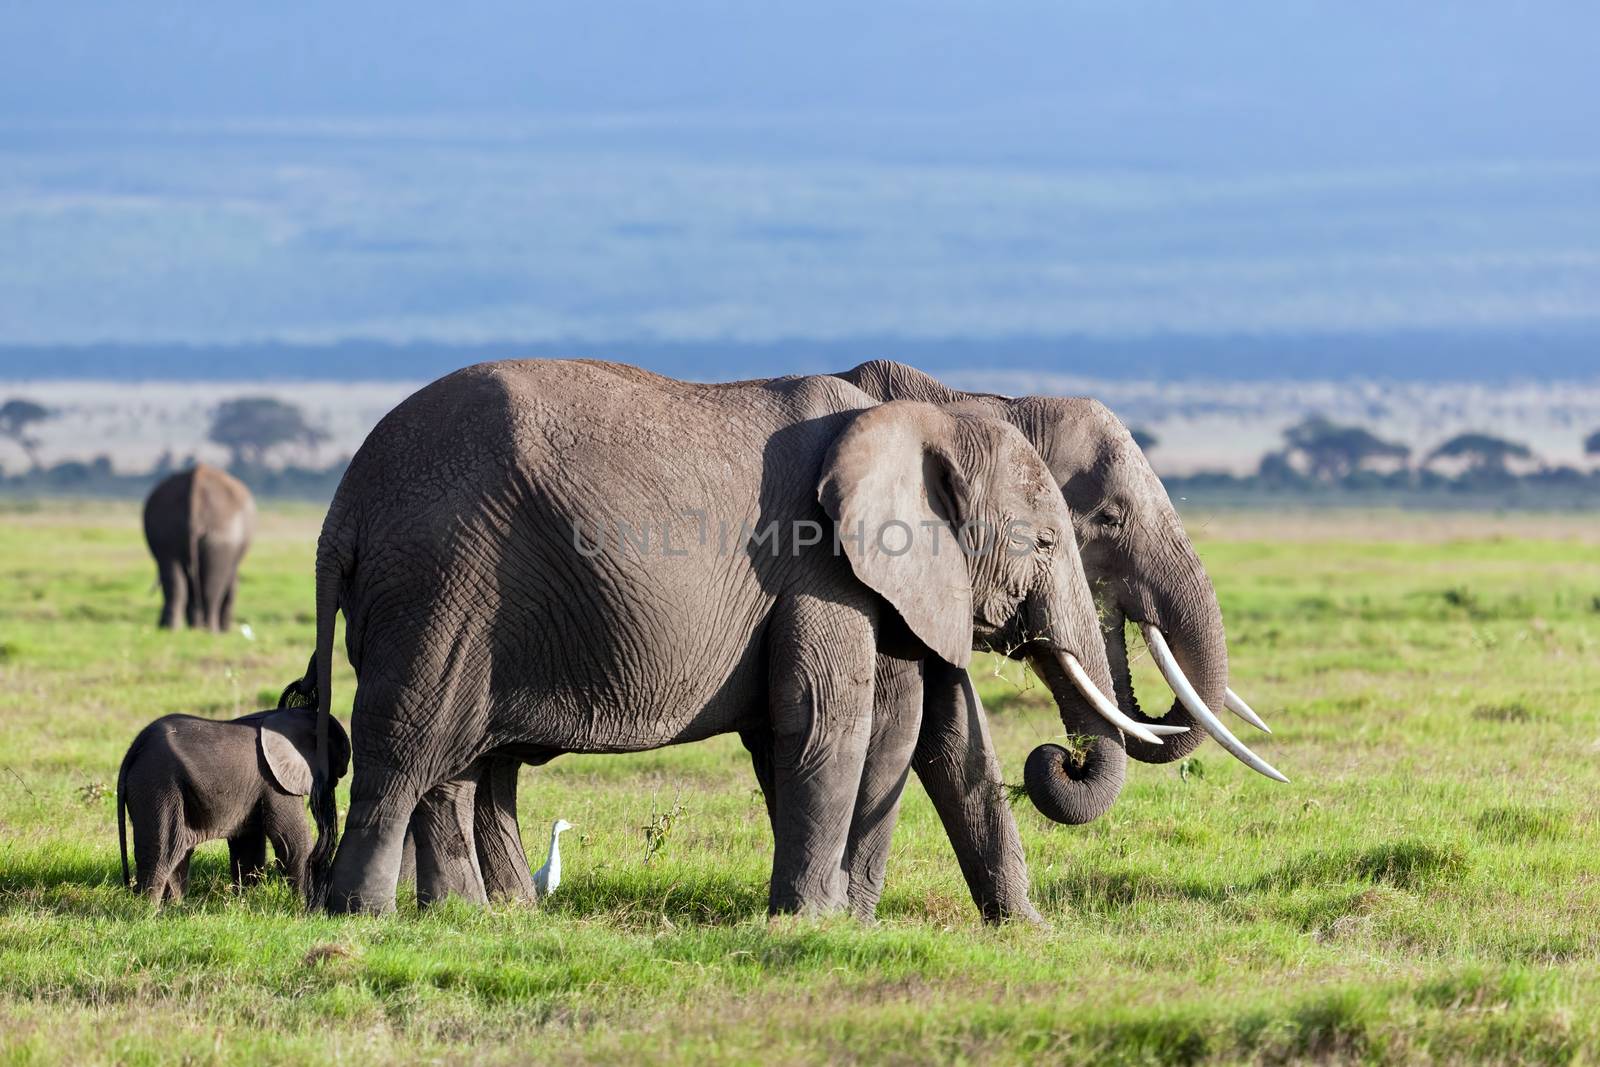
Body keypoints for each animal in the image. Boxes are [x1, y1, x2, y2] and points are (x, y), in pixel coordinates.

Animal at [117, 703, 353, 908]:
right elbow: (291, 840)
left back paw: (174, 907)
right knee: (165, 850)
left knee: (178, 852)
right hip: (158, 784)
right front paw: (309, 908)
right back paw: (147, 910)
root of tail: (135, 748)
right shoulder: (273, 781)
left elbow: (248, 845)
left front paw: (244, 902)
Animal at [144, 463, 256, 630]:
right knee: (211, 588)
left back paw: (173, 628)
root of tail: (197, 481)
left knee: (174, 580)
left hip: (165, 529)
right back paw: (211, 630)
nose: (228, 628)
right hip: (222, 537)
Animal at [300, 361, 1152, 921]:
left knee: (454, 764)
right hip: (441, 583)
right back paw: (363, 915)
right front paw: (813, 923)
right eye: (1045, 542)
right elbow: (828, 718)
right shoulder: (816, 562)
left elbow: (917, 731)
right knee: (408, 748)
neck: (926, 418)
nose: (1063, 757)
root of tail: (344, 506)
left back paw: (472, 920)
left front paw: (1016, 932)